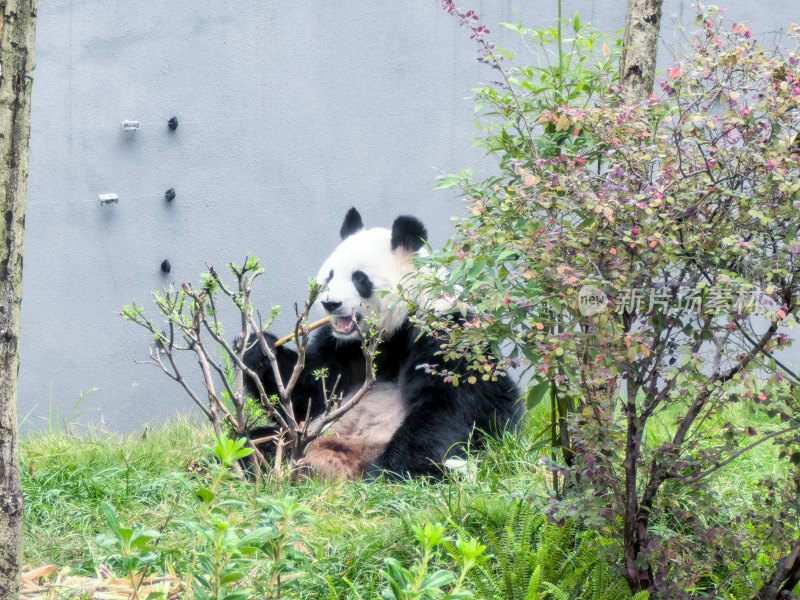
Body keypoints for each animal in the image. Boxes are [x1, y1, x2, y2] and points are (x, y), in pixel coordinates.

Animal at [241, 209, 520, 480]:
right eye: (330, 275)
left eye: (359, 278)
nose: (330, 303)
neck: (394, 329)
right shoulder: (343, 347)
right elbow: (310, 392)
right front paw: (259, 350)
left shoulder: (445, 333)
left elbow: (447, 406)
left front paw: (391, 473)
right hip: (303, 438)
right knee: (252, 443)